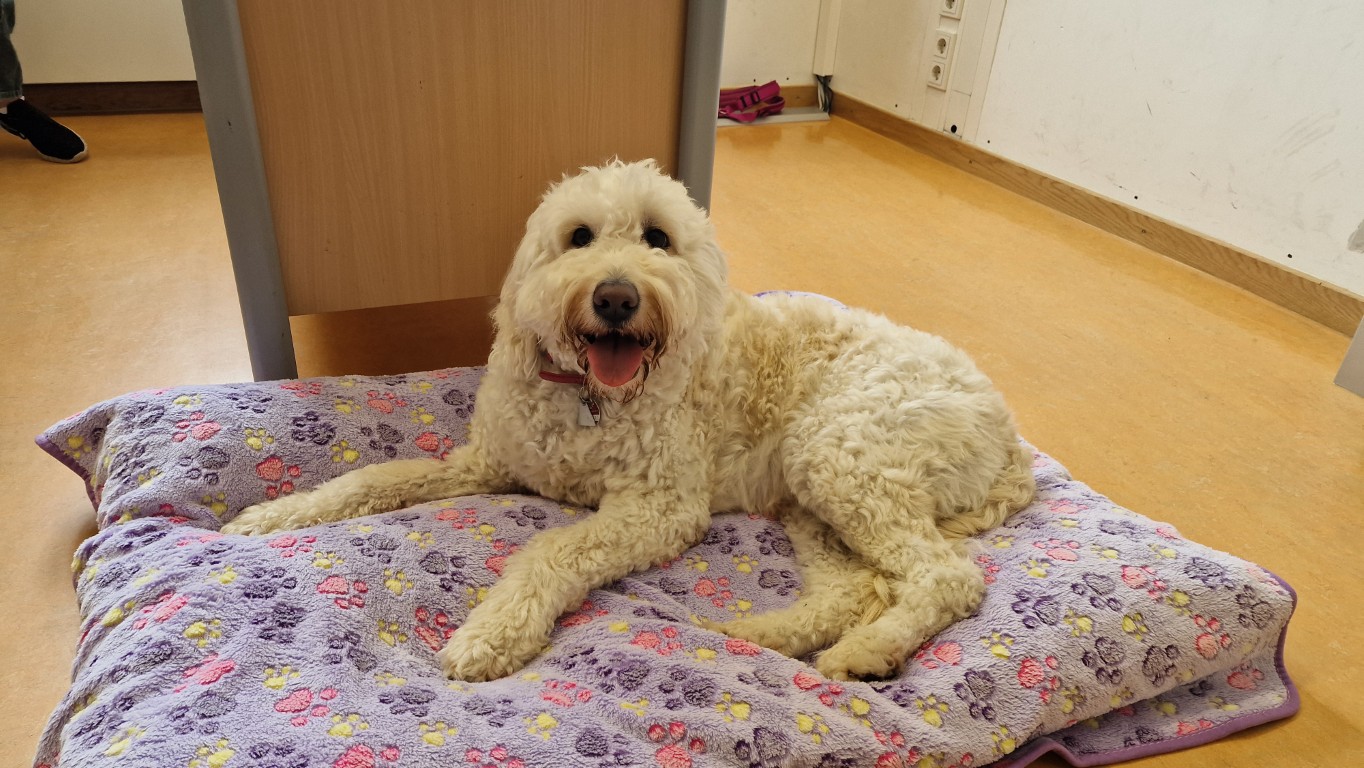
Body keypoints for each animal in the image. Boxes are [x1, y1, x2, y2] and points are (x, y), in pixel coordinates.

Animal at [223, 159, 1036, 682]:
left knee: (947, 577)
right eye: (579, 236)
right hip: (812, 494)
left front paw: (493, 632)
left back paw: (869, 652)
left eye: (658, 238)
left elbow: (550, 550)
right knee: (858, 587)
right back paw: (764, 636)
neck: (586, 396)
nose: (616, 296)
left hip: (845, 455)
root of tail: (1008, 428)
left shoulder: (660, 509)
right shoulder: (483, 463)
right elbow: (377, 476)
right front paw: (273, 516)